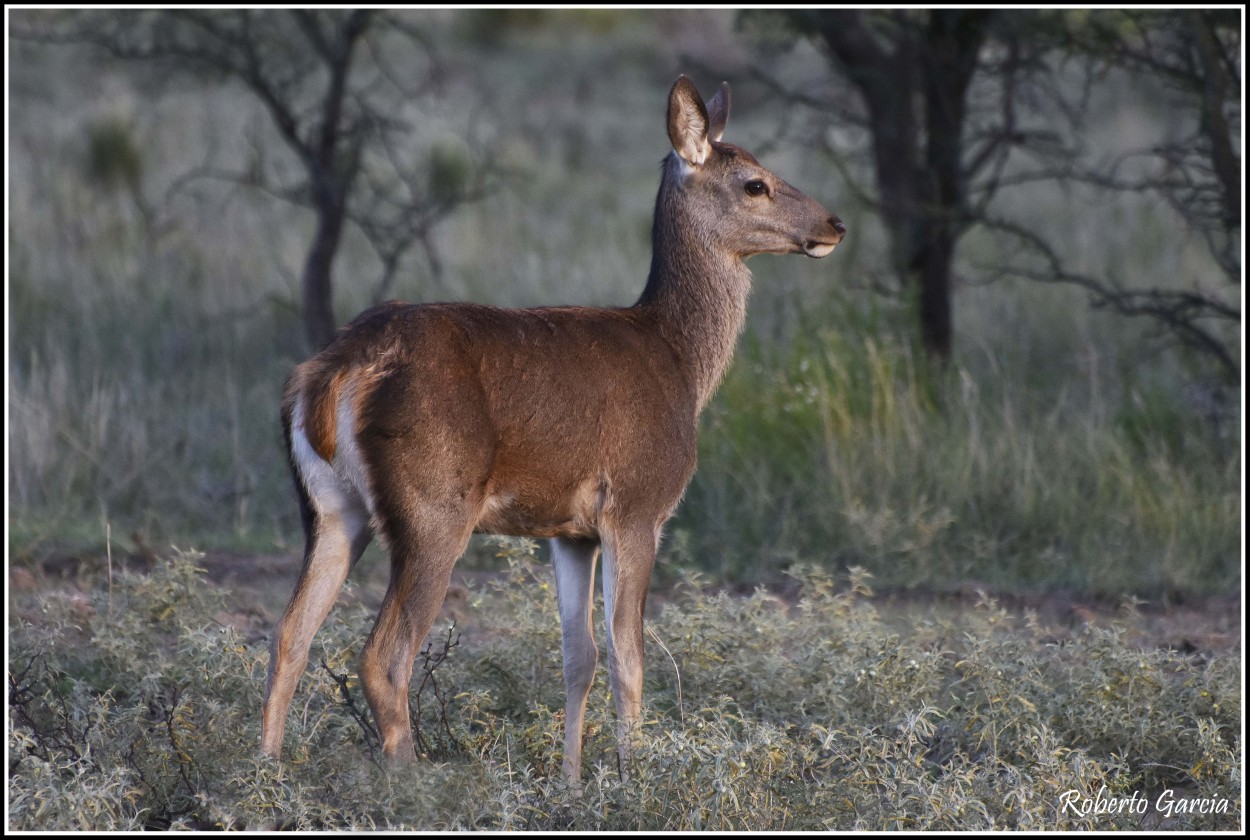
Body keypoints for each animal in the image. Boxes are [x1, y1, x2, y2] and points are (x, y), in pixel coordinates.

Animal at [258, 72, 845, 780]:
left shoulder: (571, 532)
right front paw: (633, 777)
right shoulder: (637, 506)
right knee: (382, 656)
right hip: (434, 506)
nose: (835, 224)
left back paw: (260, 777)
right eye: (755, 182)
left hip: (328, 505)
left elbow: (578, 656)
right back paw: (411, 782)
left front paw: (572, 781)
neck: (680, 360)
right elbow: (629, 658)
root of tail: (334, 369)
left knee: (288, 634)